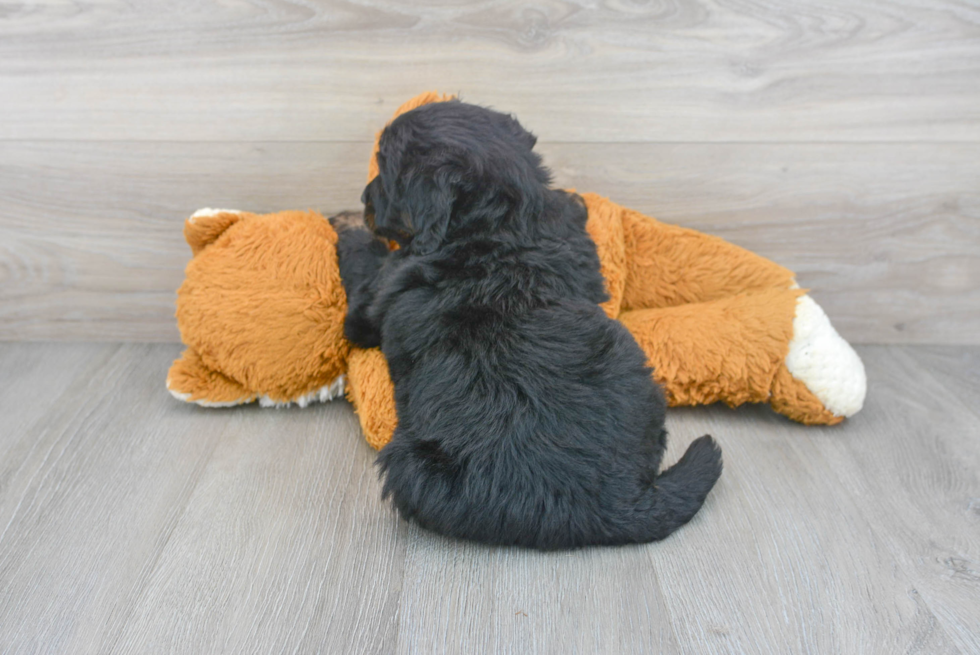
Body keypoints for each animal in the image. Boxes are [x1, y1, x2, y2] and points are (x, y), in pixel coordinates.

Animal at [334, 102, 724, 552]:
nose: (363, 198)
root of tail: (616, 506)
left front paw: (346, 225)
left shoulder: (372, 302)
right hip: (639, 374)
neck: (504, 221)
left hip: (411, 466)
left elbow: (366, 266)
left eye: (384, 166)